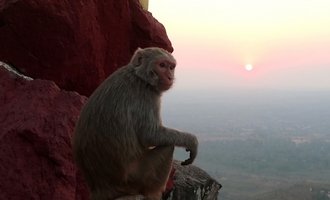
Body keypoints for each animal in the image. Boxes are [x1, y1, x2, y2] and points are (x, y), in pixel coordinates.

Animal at [73, 47, 199, 200]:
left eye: (171, 67)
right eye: (162, 65)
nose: (170, 77)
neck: (139, 76)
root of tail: (100, 189)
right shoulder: (146, 95)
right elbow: (150, 135)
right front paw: (191, 141)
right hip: (135, 178)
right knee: (168, 147)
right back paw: (153, 195)